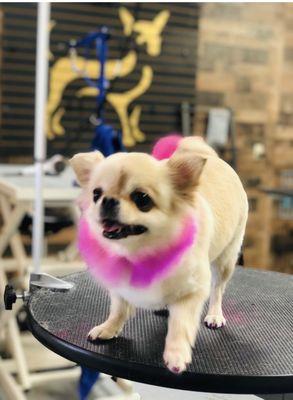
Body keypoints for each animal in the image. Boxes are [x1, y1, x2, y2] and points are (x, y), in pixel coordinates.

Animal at [69, 136, 248, 374]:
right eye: (96, 194)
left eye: (142, 199)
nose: (107, 200)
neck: (140, 251)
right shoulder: (119, 284)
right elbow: (118, 309)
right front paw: (109, 328)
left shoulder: (193, 292)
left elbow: (180, 325)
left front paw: (176, 354)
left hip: (226, 259)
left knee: (218, 289)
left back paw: (215, 314)